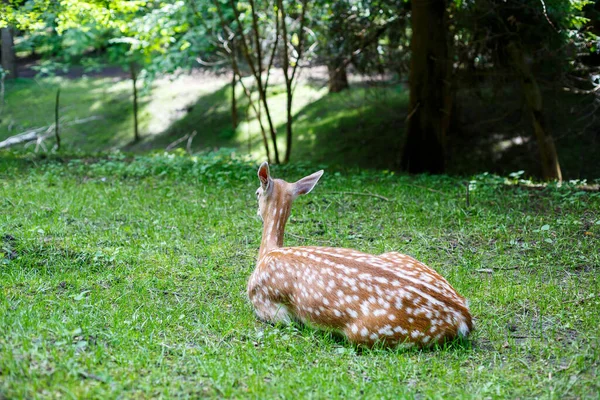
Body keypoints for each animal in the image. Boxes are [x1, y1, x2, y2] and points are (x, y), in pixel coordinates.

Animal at [248, 162, 474, 346]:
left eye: (257, 193)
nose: (257, 213)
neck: (269, 253)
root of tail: (464, 318)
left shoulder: (268, 307)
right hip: (398, 254)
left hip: (366, 331)